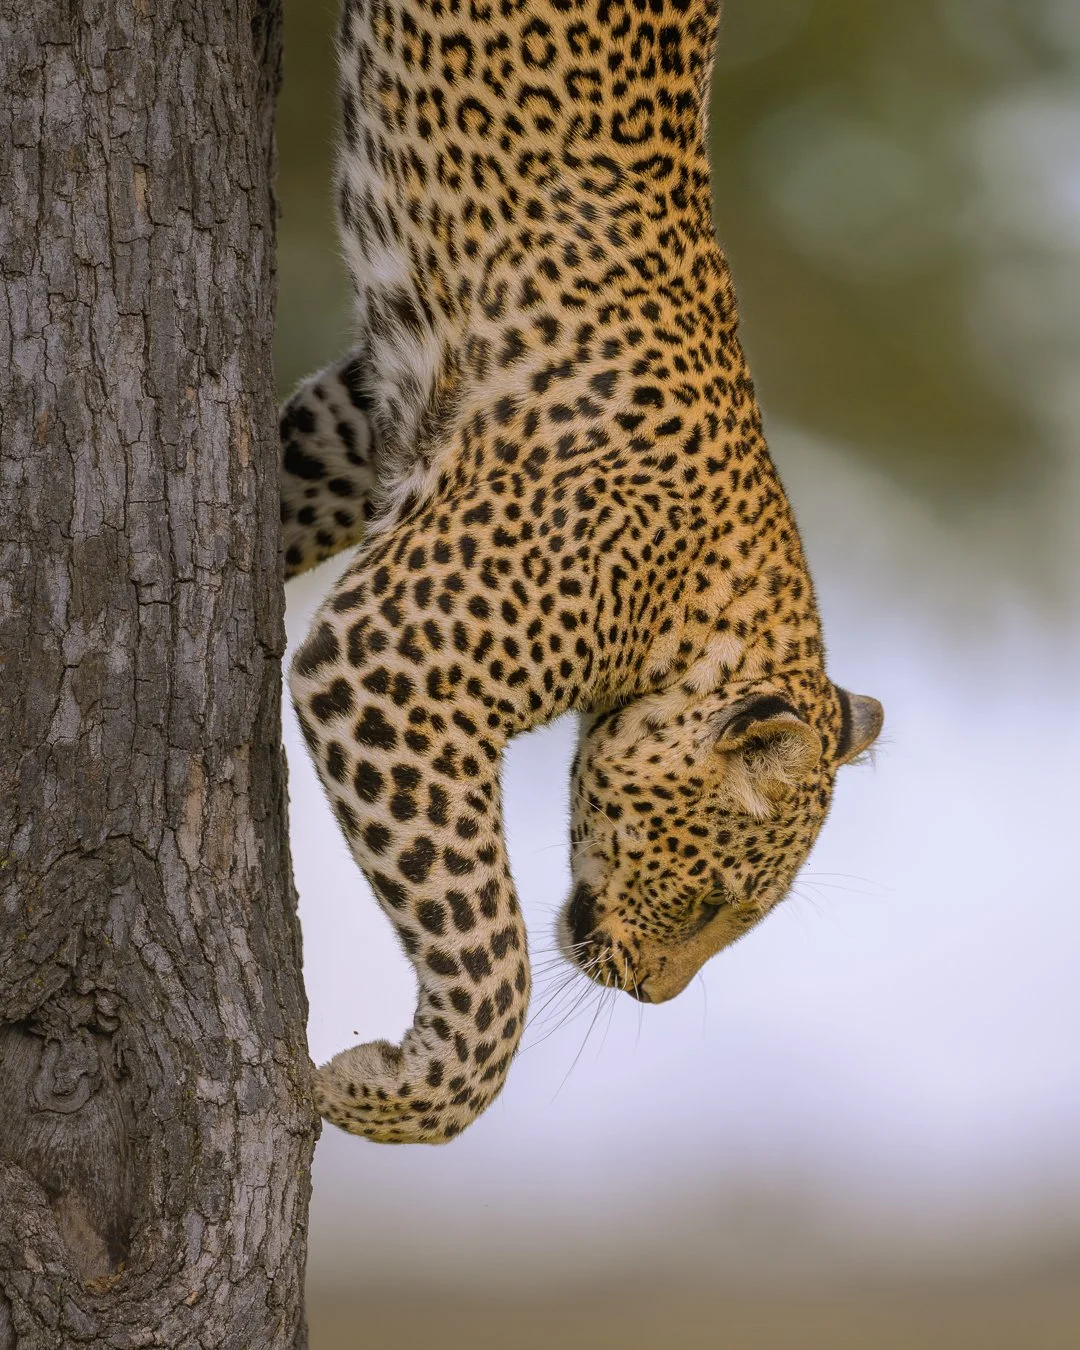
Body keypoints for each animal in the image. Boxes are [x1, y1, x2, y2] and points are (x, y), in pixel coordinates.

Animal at [282, 0, 884, 1144]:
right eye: (715, 896)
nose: (652, 995)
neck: (700, 607)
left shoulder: (375, 411)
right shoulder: (392, 655)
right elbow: (491, 953)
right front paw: (385, 1087)